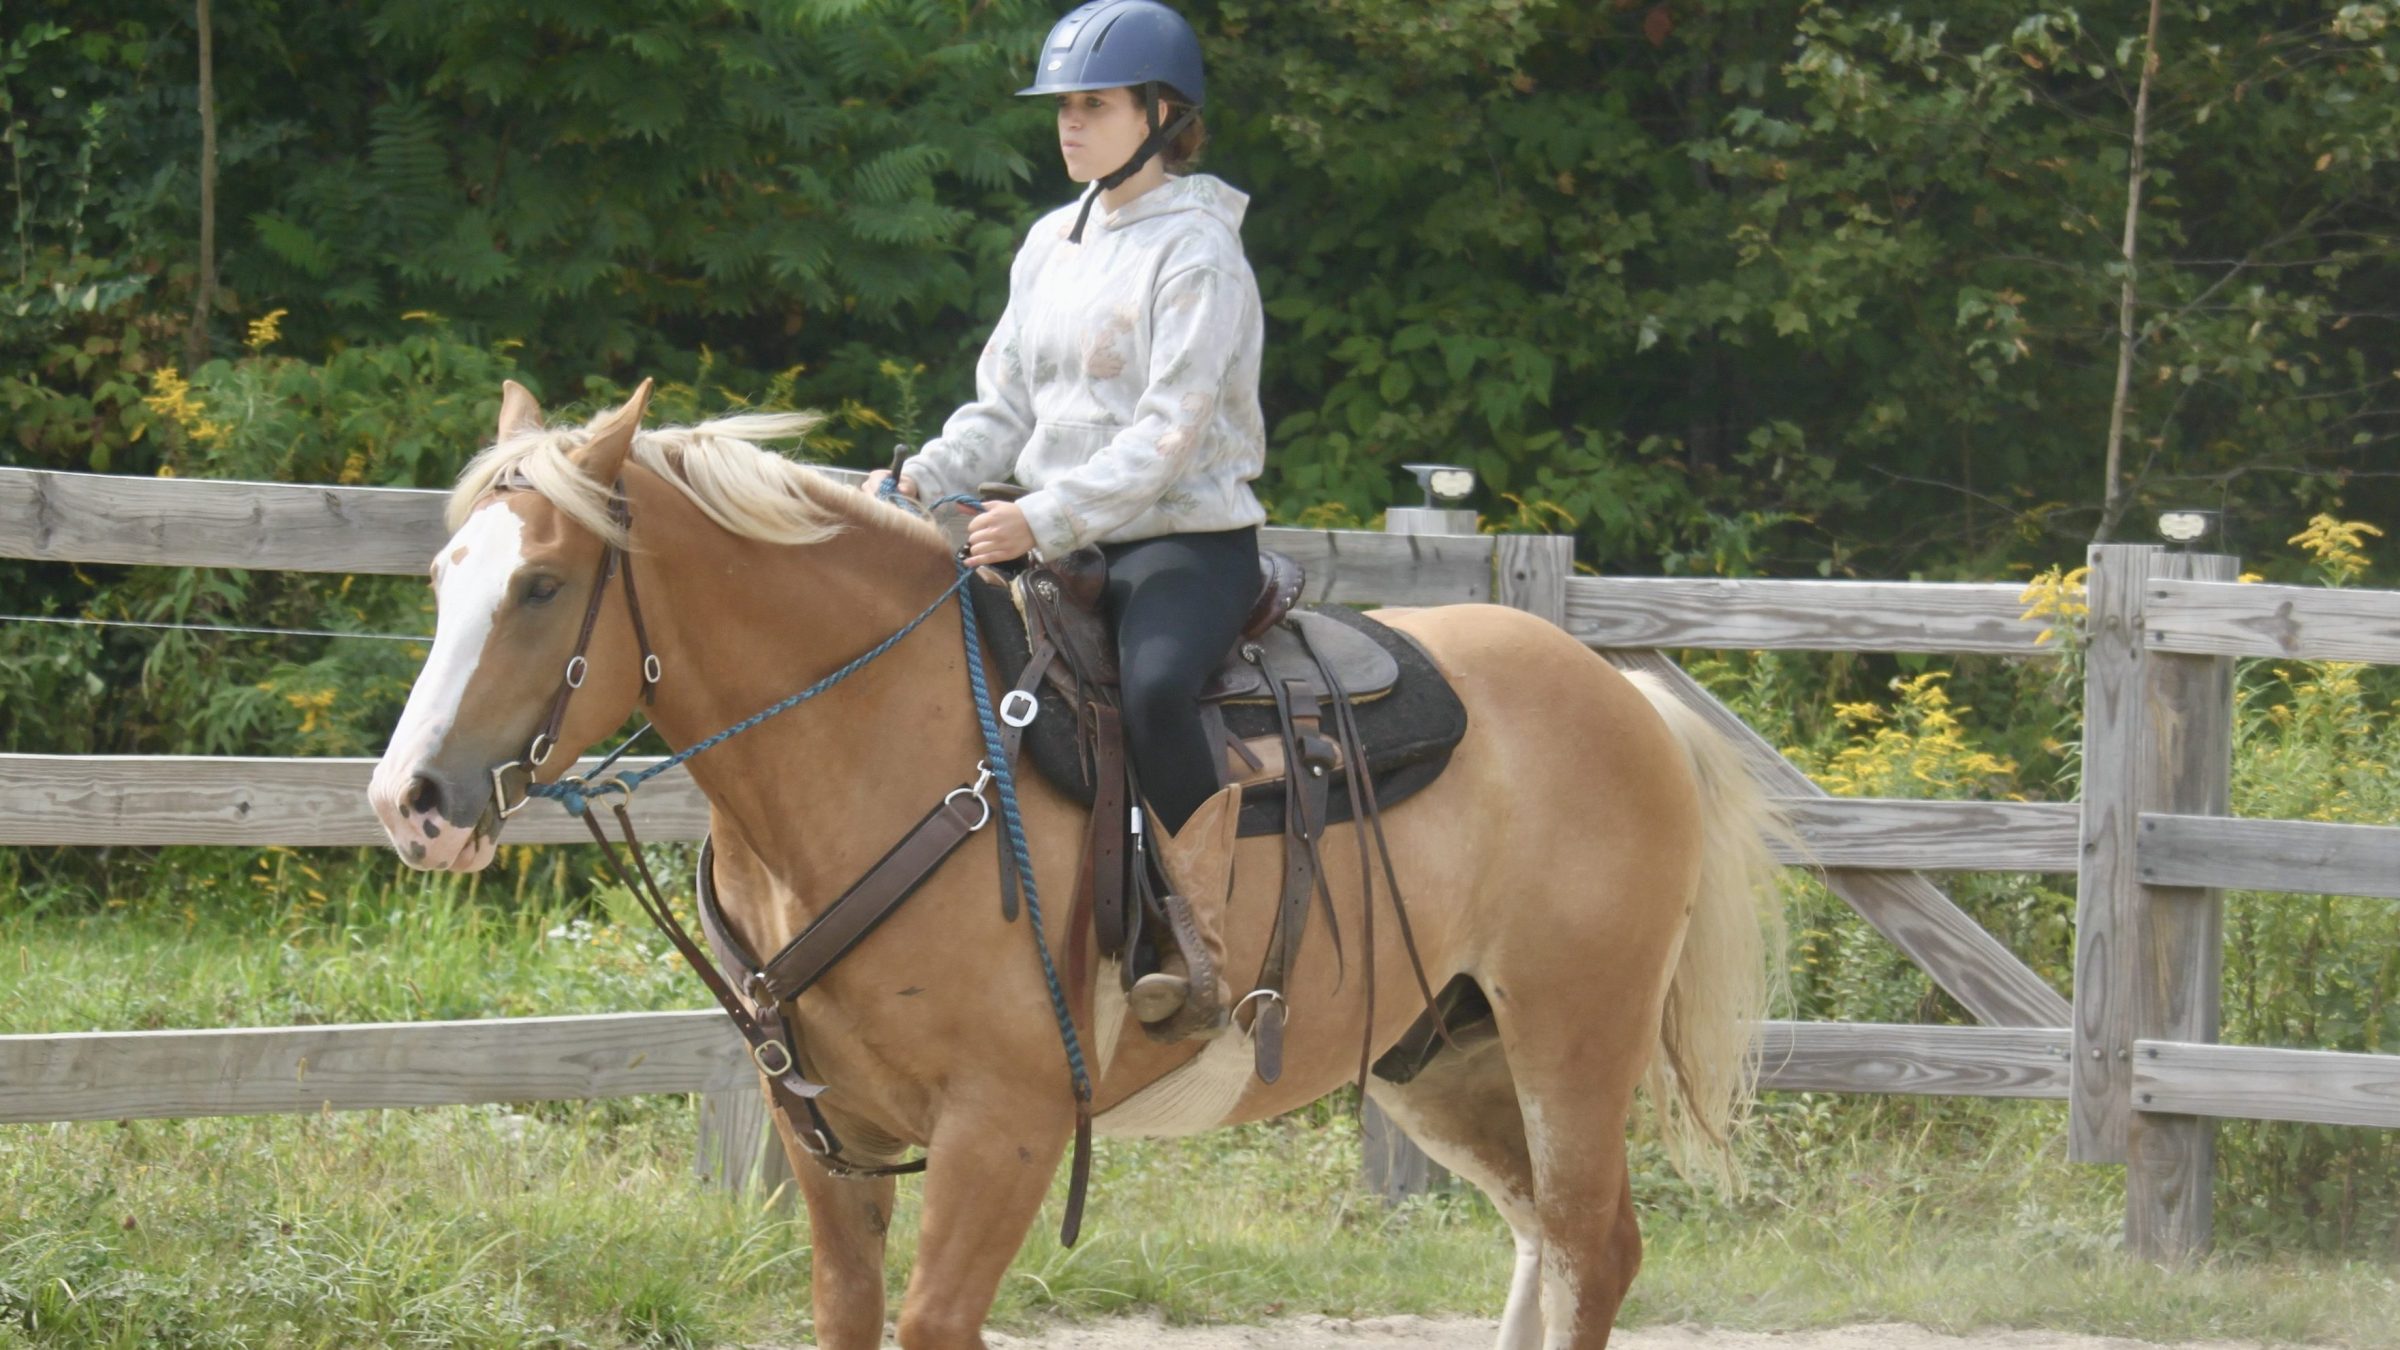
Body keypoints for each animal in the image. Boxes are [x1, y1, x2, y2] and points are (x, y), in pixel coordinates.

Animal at [367, 379, 1786, 1350]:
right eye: (441, 576)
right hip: (1440, 1055)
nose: (410, 804)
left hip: (1571, 1041)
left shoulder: (1006, 1129)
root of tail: (1614, 689)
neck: (883, 743)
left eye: (543, 587)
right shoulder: (825, 1131)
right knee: (1543, 1240)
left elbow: (937, 1324)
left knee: (1595, 1248)